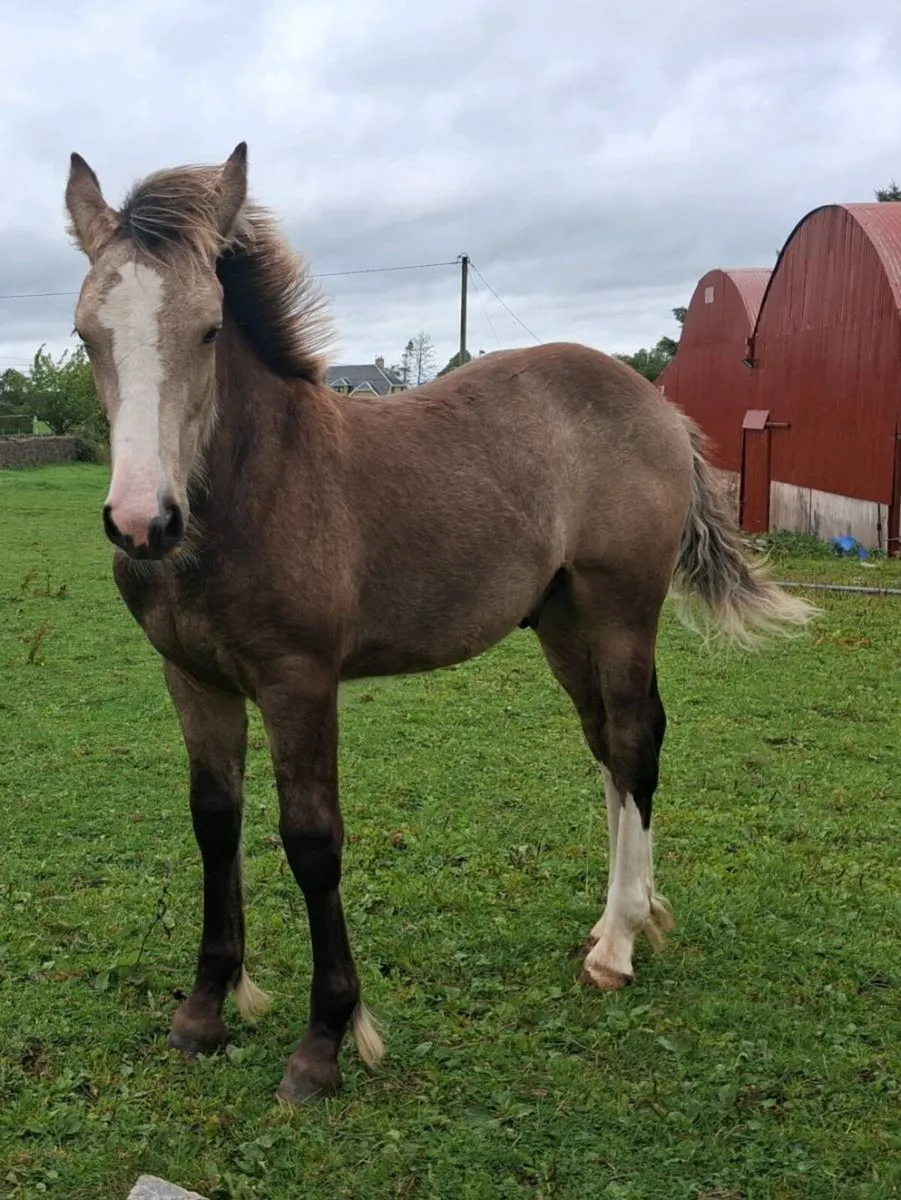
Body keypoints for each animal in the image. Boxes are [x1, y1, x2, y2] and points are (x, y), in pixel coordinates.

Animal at [64, 142, 816, 1103]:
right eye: (89, 334)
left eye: (205, 330)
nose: (141, 522)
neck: (250, 487)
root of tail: (651, 400)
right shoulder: (192, 678)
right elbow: (213, 822)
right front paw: (204, 1010)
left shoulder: (299, 680)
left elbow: (312, 839)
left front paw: (325, 1042)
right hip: (560, 619)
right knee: (609, 744)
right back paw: (622, 918)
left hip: (619, 605)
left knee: (635, 739)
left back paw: (616, 945)